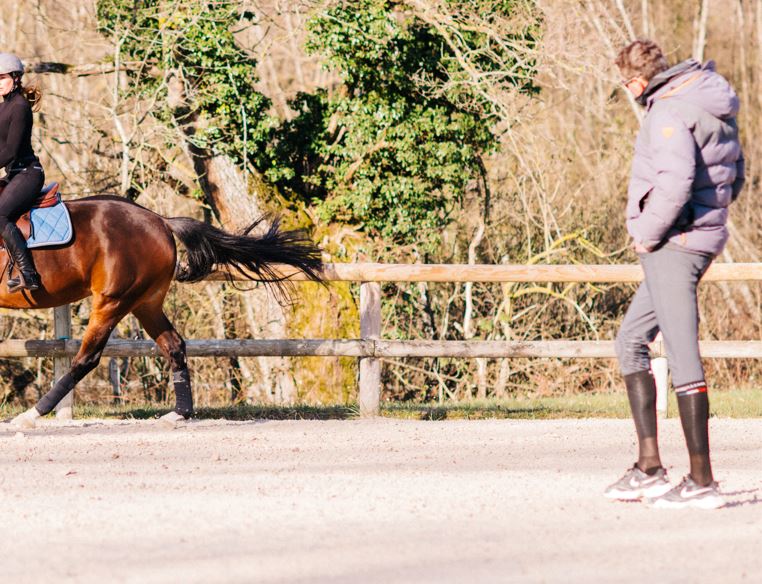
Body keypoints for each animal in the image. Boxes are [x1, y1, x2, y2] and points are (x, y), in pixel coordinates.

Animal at [8, 194, 324, 426]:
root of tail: (160, 220)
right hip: (145, 302)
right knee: (174, 345)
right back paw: (179, 413)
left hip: (114, 301)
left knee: (87, 358)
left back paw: (31, 414)